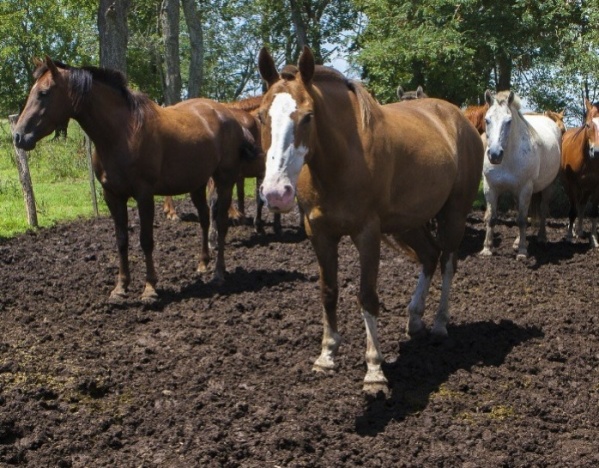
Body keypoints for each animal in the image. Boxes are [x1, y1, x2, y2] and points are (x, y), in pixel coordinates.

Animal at [11, 56, 255, 302]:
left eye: (44, 93)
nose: (18, 136)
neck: (121, 133)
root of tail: (229, 115)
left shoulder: (144, 195)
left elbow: (146, 240)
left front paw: (149, 288)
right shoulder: (112, 196)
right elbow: (121, 240)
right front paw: (120, 287)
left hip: (224, 181)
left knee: (220, 223)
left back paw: (218, 273)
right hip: (196, 182)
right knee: (205, 218)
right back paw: (203, 264)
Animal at [258, 47, 482, 394]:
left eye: (308, 116)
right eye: (260, 116)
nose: (276, 192)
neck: (341, 160)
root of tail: (459, 119)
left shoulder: (367, 233)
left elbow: (367, 296)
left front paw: (374, 371)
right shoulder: (319, 233)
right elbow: (329, 290)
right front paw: (326, 355)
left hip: (453, 214)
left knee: (447, 262)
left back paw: (439, 323)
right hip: (409, 223)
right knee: (430, 256)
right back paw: (414, 319)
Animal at [478, 90, 564, 260]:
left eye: (509, 121)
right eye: (487, 120)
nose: (495, 154)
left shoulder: (525, 188)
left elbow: (522, 220)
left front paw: (523, 252)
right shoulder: (490, 188)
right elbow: (491, 217)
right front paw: (487, 248)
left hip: (547, 186)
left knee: (542, 210)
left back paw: (542, 238)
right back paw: (517, 242)